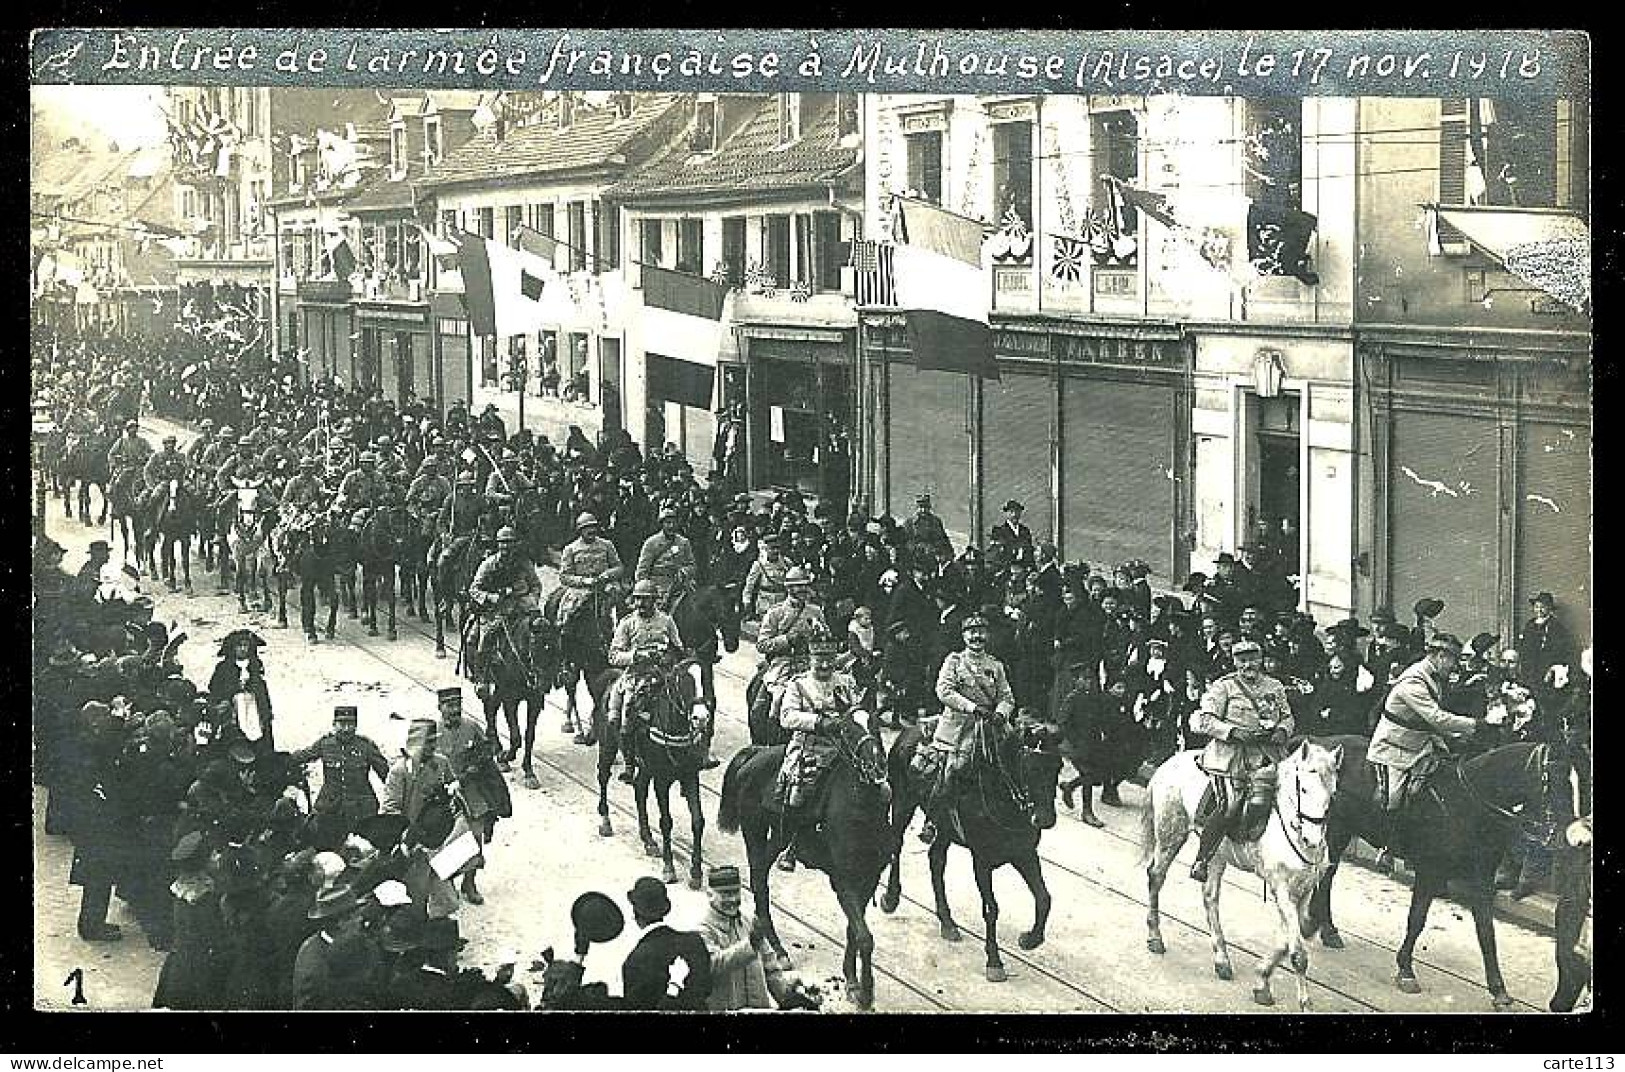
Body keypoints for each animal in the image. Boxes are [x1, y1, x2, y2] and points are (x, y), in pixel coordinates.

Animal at [721, 734, 897, 1007]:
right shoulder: (843, 881)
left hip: (779, 836)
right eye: (848, 729)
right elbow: (864, 937)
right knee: (759, 881)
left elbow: (854, 931)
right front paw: (866, 992)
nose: (875, 766)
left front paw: (852, 981)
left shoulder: (868, 879)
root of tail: (756, 752)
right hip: (754, 829)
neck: (861, 808)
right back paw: (778, 949)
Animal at [877, 721, 1066, 981]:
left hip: (944, 828)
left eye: (1058, 765)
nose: (1045, 819)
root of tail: (908, 731)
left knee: (936, 861)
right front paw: (994, 962)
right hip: (903, 802)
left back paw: (947, 922)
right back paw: (891, 898)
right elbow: (991, 908)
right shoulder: (982, 861)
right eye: (1029, 766)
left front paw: (1030, 939)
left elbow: (1044, 897)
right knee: (897, 845)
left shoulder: (1025, 854)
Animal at [1137, 740, 1339, 1007]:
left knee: (1210, 897)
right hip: (1172, 832)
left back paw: (1221, 959)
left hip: (1216, 855)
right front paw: (1304, 1002)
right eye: (1303, 789)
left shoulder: (1302, 892)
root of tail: (1170, 762)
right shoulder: (1282, 888)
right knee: (1156, 877)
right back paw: (1155, 938)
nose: (1312, 840)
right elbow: (1297, 953)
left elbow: (1286, 942)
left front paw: (1262, 980)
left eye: (1332, 794)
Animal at [1300, 734, 1566, 1007]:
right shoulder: (1428, 872)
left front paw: (1499, 989)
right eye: (1555, 777)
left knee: (1327, 874)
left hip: (1340, 831)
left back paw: (1326, 929)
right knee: (1324, 874)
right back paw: (1316, 925)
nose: (1565, 831)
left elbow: (1486, 932)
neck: (1468, 804)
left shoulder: (1481, 881)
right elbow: (1417, 920)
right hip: (1333, 831)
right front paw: (1406, 970)